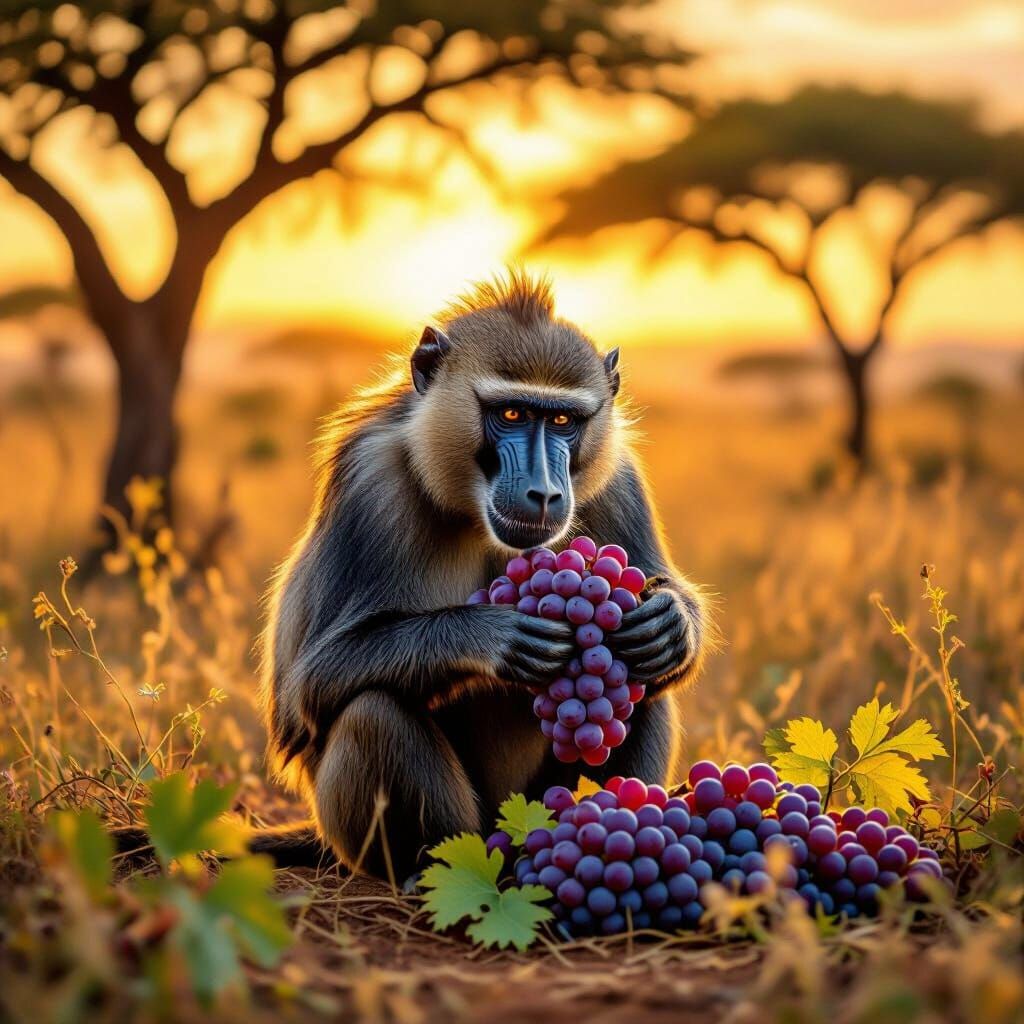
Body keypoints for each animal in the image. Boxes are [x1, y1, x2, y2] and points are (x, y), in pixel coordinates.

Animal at [250, 271, 707, 881]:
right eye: (511, 414)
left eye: (562, 421)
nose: (545, 493)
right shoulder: (371, 483)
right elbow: (305, 691)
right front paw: (491, 635)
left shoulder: (618, 477)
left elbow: (660, 627)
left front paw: (670, 622)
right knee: (373, 712)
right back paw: (443, 870)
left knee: (645, 680)